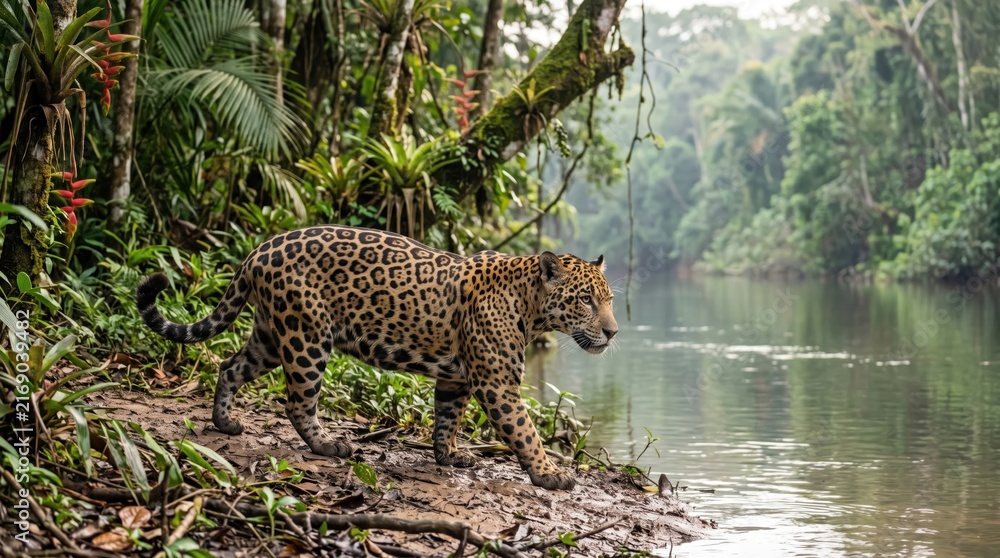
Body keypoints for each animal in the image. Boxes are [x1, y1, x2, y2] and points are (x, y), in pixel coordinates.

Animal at [135, 225, 618, 490]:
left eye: (609, 299)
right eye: (586, 300)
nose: (613, 332)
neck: (531, 307)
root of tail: (260, 248)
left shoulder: (457, 377)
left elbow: (448, 417)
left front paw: (450, 456)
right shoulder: (497, 384)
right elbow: (525, 431)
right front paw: (550, 474)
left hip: (270, 336)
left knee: (230, 366)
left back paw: (225, 422)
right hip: (307, 336)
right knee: (298, 401)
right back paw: (329, 445)